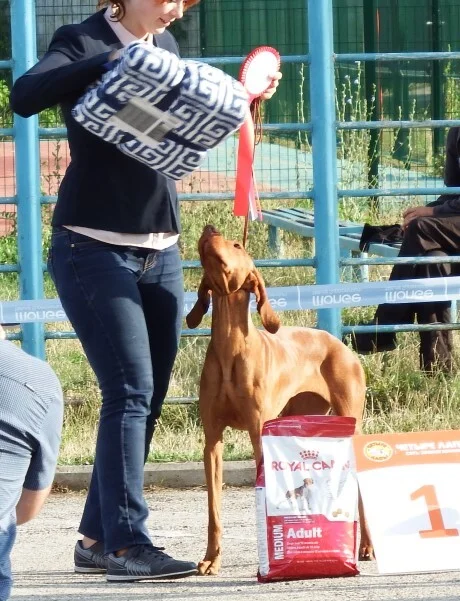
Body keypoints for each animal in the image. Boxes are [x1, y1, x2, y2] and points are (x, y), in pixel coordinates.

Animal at [187, 224, 374, 572]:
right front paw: (211, 559)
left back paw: (366, 546)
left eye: (236, 244)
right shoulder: (212, 440)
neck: (230, 347)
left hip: (350, 421)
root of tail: (339, 344)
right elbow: (214, 508)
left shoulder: (257, 433)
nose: (209, 228)